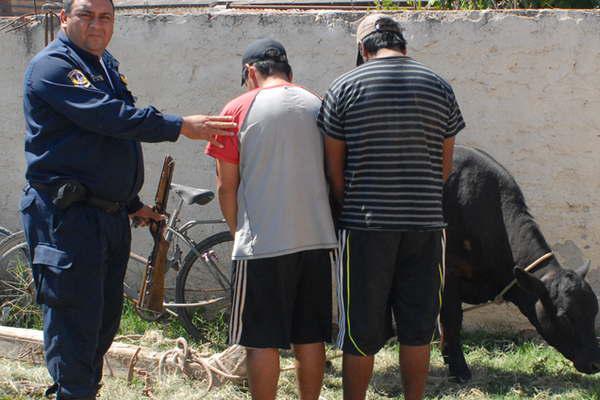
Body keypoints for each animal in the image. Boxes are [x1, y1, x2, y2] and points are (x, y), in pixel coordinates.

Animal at [440, 145, 600, 382]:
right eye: (565, 318)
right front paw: (459, 370)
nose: (595, 363)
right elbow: (451, 319)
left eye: (594, 310)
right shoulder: (449, 270)